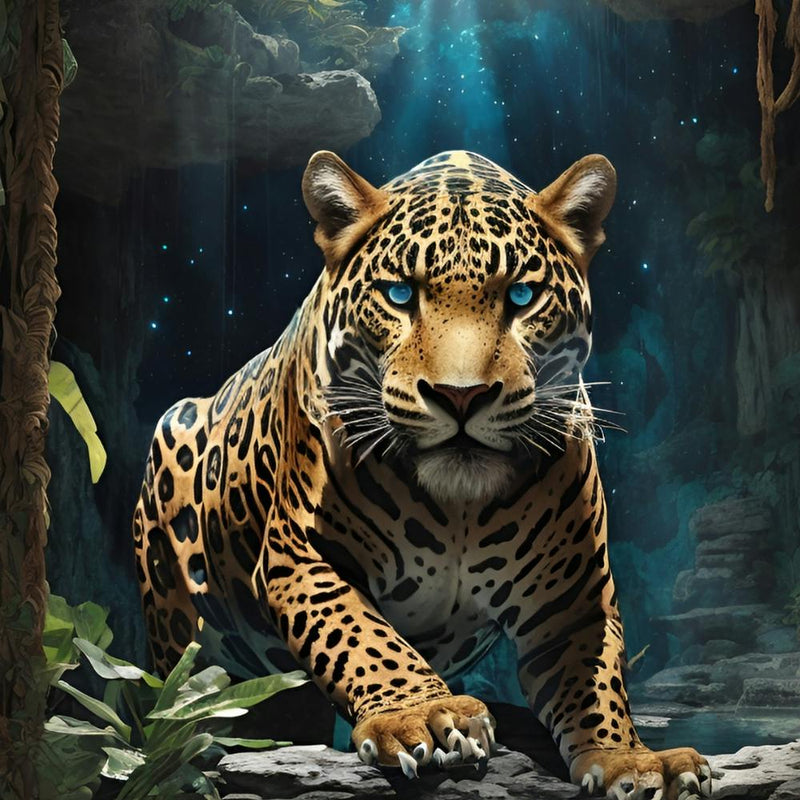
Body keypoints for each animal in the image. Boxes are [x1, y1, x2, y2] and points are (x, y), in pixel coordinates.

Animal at [132, 149, 711, 799]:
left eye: (522, 296)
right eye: (399, 294)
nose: (461, 396)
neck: (459, 507)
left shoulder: (574, 600)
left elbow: (599, 686)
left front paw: (630, 758)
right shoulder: (301, 558)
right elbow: (363, 638)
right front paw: (426, 715)